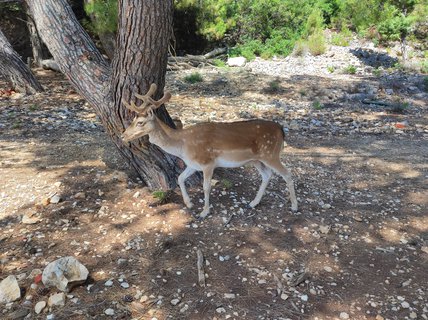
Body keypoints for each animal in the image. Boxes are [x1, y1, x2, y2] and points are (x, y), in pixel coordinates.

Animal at [120, 84, 298, 219]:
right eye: (133, 120)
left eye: (140, 122)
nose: (123, 135)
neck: (183, 146)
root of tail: (281, 130)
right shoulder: (192, 164)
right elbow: (180, 178)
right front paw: (189, 203)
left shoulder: (208, 162)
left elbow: (206, 187)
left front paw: (204, 212)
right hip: (256, 159)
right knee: (267, 175)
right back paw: (253, 203)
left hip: (271, 154)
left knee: (287, 173)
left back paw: (294, 206)